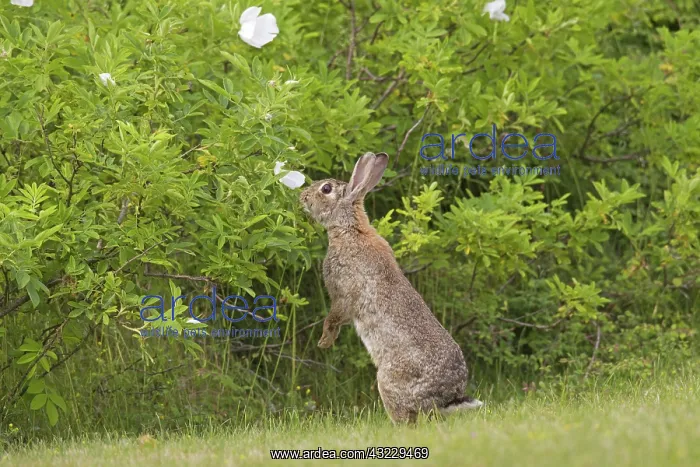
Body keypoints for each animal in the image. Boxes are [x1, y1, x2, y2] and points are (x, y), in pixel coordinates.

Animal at [299, 152, 482, 423]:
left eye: (326, 189)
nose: (302, 197)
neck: (349, 228)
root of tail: (447, 398)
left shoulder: (343, 293)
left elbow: (334, 318)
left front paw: (324, 342)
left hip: (388, 381)